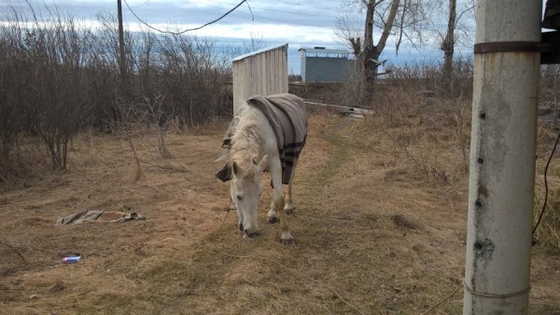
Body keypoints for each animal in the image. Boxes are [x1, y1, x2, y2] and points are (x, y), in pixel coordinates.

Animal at [218, 92, 306, 246]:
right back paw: (272, 214)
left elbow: (279, 198)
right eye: (238, 196)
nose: (251, 231)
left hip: (294, 157)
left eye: (259, 194)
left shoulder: (276, 163)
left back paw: (288, 206)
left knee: (289, 181)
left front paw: (285, 234)